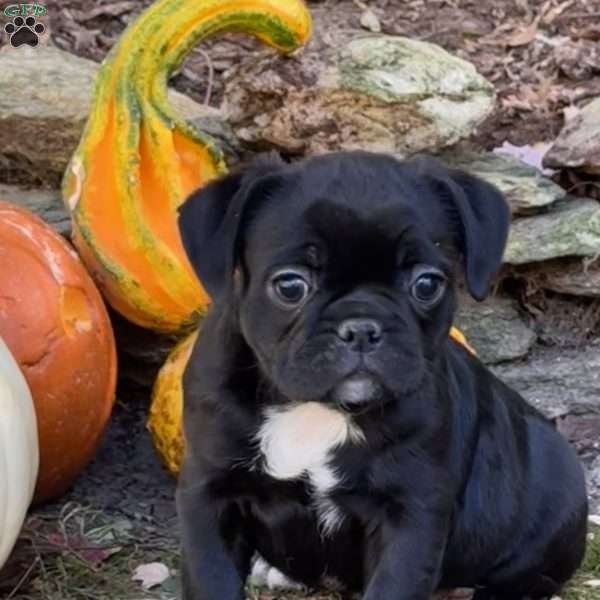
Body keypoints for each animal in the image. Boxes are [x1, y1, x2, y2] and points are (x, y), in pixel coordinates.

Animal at [176, 151, 588, 600]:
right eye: (290, 285)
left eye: (426, 283)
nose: (361, 327)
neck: (319, 411)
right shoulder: (210, 495)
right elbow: (212, 578)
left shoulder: (410, 513)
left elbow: (394, 584)